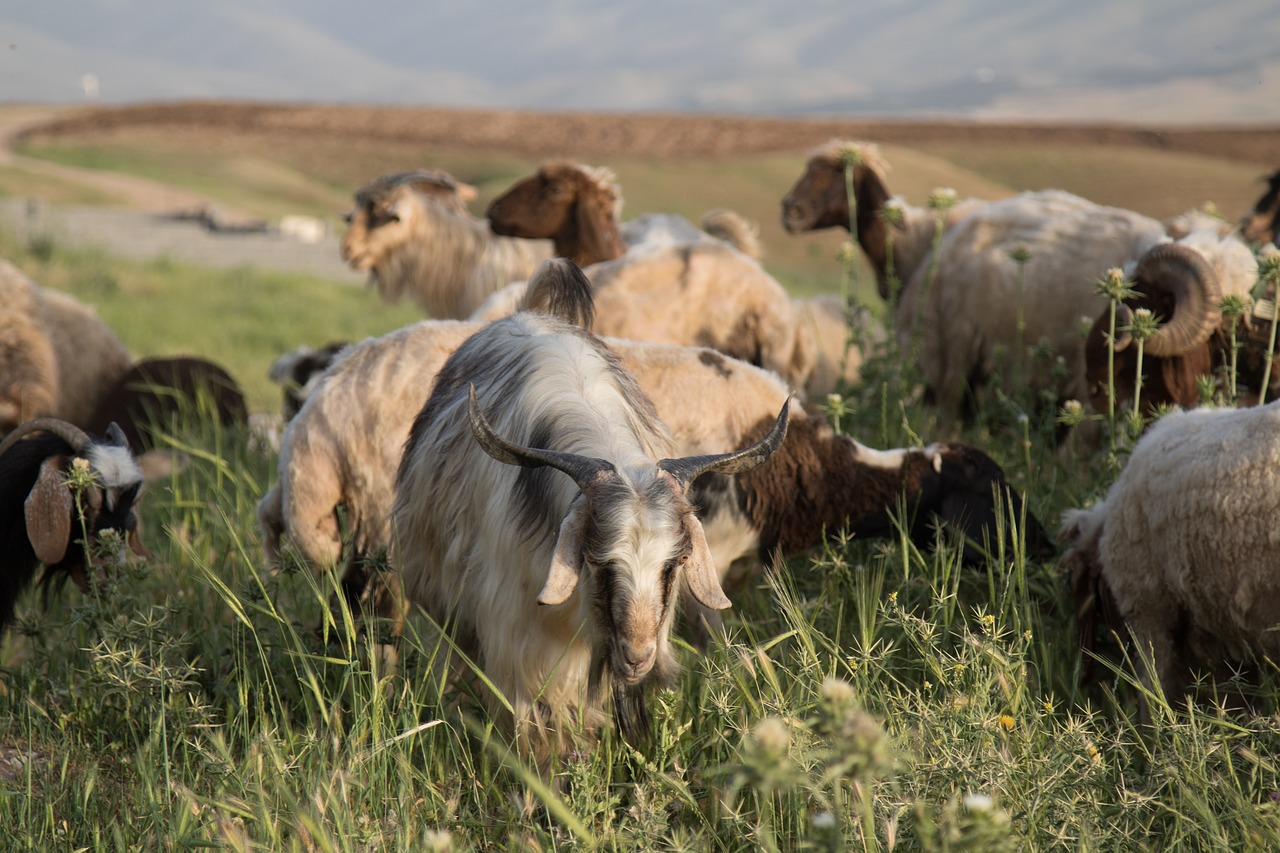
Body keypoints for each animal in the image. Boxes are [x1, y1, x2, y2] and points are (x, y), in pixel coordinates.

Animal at [1059, 399, 1280, 712]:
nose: (1082, 678)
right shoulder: (1227, 620)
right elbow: (1235, 698)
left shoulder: (1148, 609)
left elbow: (1154, 684)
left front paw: (1158, 723)